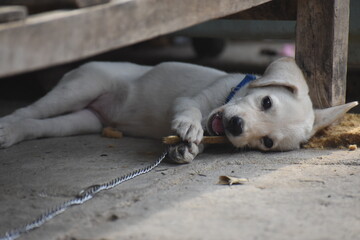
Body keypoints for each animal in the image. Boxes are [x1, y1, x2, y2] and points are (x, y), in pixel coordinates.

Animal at [0, 57, 358, 163]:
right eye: (266, 101)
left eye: (267, 142)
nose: (236, 126)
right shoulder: (193, 100)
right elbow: (188, 112)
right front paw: (189, 128)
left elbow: (197, 144)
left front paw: (186, 150)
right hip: (81, 86)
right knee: (28, 111)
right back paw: (8, 126)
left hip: (83, 119)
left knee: (41, 126)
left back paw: (17, 133)